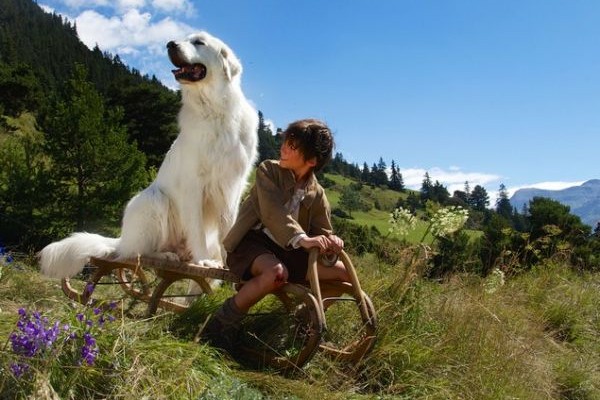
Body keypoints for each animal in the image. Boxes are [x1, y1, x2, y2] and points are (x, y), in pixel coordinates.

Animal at [38, 32, 258, 278]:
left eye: (199, 42)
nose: (170, 44)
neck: (215, 111)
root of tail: (122, 239)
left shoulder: (232, 187)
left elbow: (230, 229)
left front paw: (229, 263)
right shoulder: (193, 185)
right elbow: (197, 229)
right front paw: (203, 261)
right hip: (153, 200)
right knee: (138, 252)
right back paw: (167, 255)